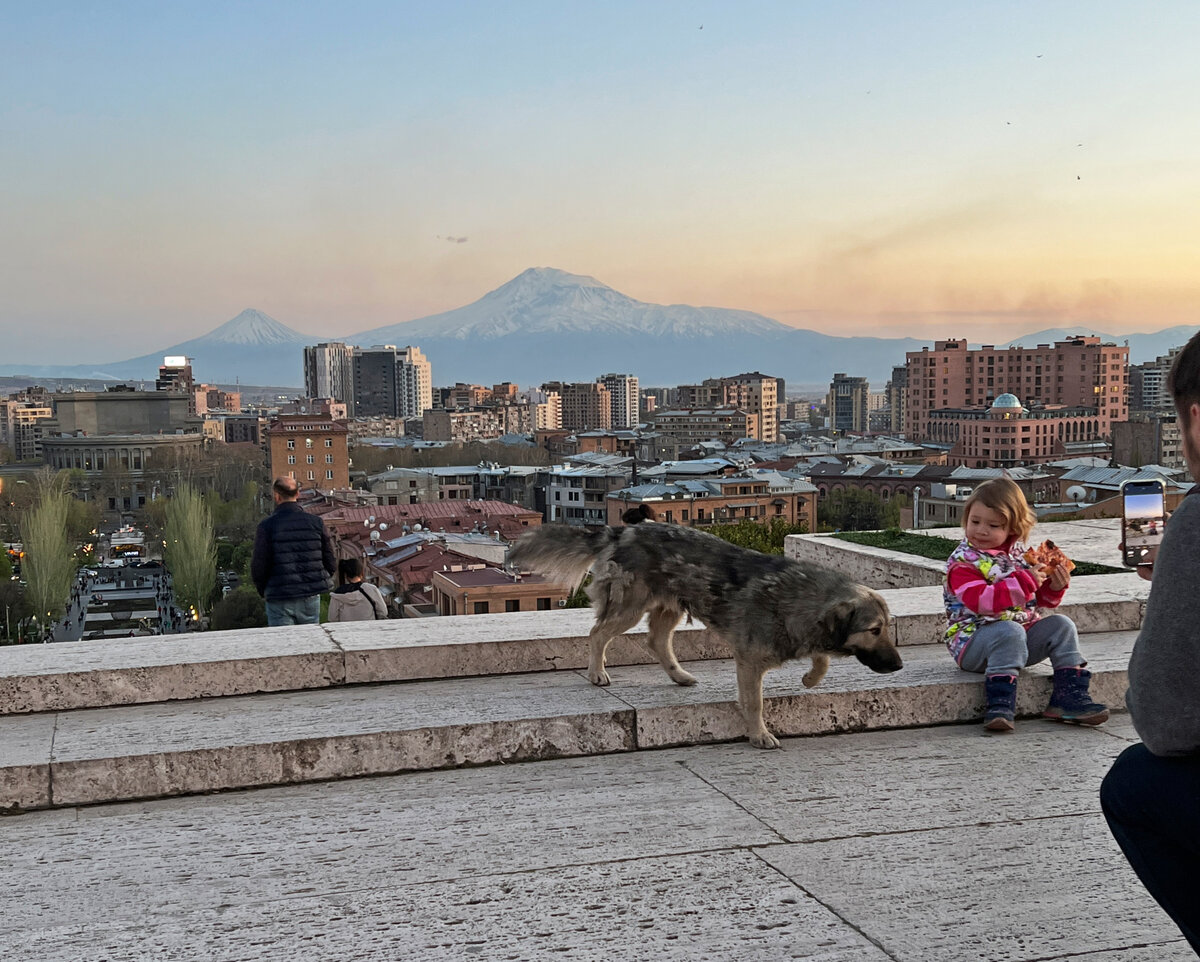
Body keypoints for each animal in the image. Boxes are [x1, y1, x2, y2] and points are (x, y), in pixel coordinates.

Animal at [504, 520, 902, 743]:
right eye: (874, 629)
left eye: (887, 628)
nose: (899, 666)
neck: (799, 598)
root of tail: (623, 530)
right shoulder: (749, 661)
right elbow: (754, 702)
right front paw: (759, 735)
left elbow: (822, 660)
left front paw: (810, 678)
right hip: (630, 606)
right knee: (597, 633)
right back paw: (596, 673)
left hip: (671, 606)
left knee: (656, 640)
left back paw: (679, 676)